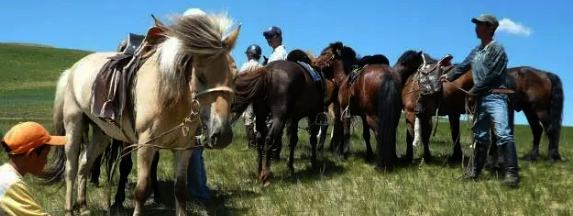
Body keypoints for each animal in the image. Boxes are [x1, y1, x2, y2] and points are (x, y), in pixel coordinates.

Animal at [43, 12, 241, 216]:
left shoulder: (184, 148)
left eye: (235, 76)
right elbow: (142, 189)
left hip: (102, 132)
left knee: (85, 162)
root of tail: (71, 70)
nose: (222, 135)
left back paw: (83, 207)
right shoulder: (146, 145)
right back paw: (69, 209)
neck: (170, 98)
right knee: (71, 167)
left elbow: (180, 190)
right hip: (73, 125)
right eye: (200, 76)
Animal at [231, 49, 338, 186]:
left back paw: (259, 171)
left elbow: (293, 140)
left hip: (261, 115)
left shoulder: (295, 118)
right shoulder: (313, 114)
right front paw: (313, 163)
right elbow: (312, 139)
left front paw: (290, 166)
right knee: (269, 139)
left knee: (260, 139)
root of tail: (268, 72)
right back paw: (266, 175)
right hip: (280, 117)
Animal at [312, 41, 402, 170]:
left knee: (379, 133)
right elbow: (366, 135)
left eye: (324, 53)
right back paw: (392, 159)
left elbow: (346, 133)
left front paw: (344, 155)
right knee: (391, 132)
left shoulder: (345, 111)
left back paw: (381, 164)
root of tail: (387, 74)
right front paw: (369, 154)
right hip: (392, 114)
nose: (313, 63)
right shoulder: (363, 116)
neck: (344, 78)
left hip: (372, 115)